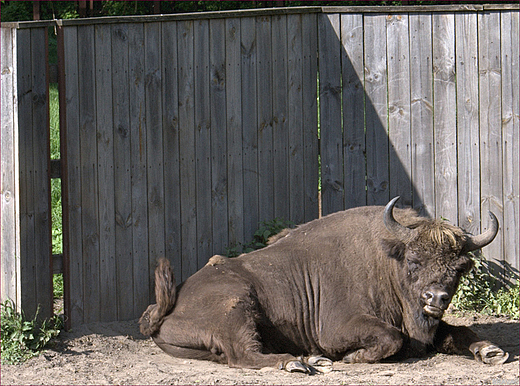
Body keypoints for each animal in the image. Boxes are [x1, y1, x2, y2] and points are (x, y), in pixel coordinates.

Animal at [139, 198, 508, 372]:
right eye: (413, 260)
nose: (435, 297)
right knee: (243, 354)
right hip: (236, 306)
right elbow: (392, 338)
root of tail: (169, 305)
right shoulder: (336, 328)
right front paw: (352, 358)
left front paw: (491, 351)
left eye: (459, 268)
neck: (387, 260)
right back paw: (301, 363)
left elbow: (459, 332)